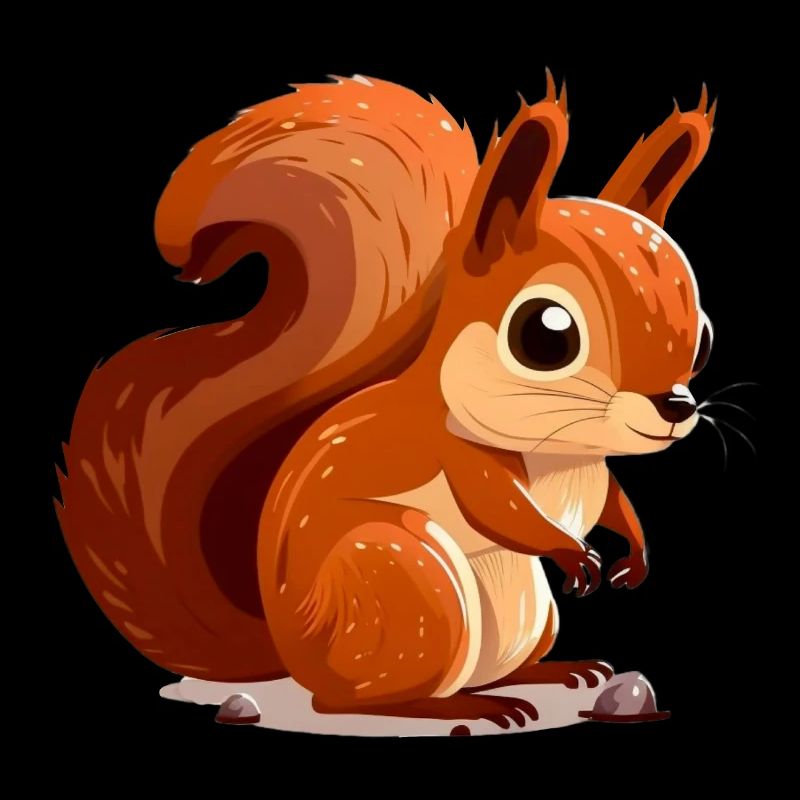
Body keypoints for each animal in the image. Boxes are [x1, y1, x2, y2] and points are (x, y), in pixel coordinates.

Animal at [57, 72, 716, 727]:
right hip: (404, 574)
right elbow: (500, 510)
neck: (562, 450)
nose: (676, 407)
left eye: (705, 336)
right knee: (352, 700)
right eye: (546, 334)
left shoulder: (595, 475)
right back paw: (463, 707)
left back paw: (550, 673)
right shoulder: (454, 453)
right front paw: (572, 552)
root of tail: (292, 654)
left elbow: (616, 502)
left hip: (529, 614)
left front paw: (635, 552)